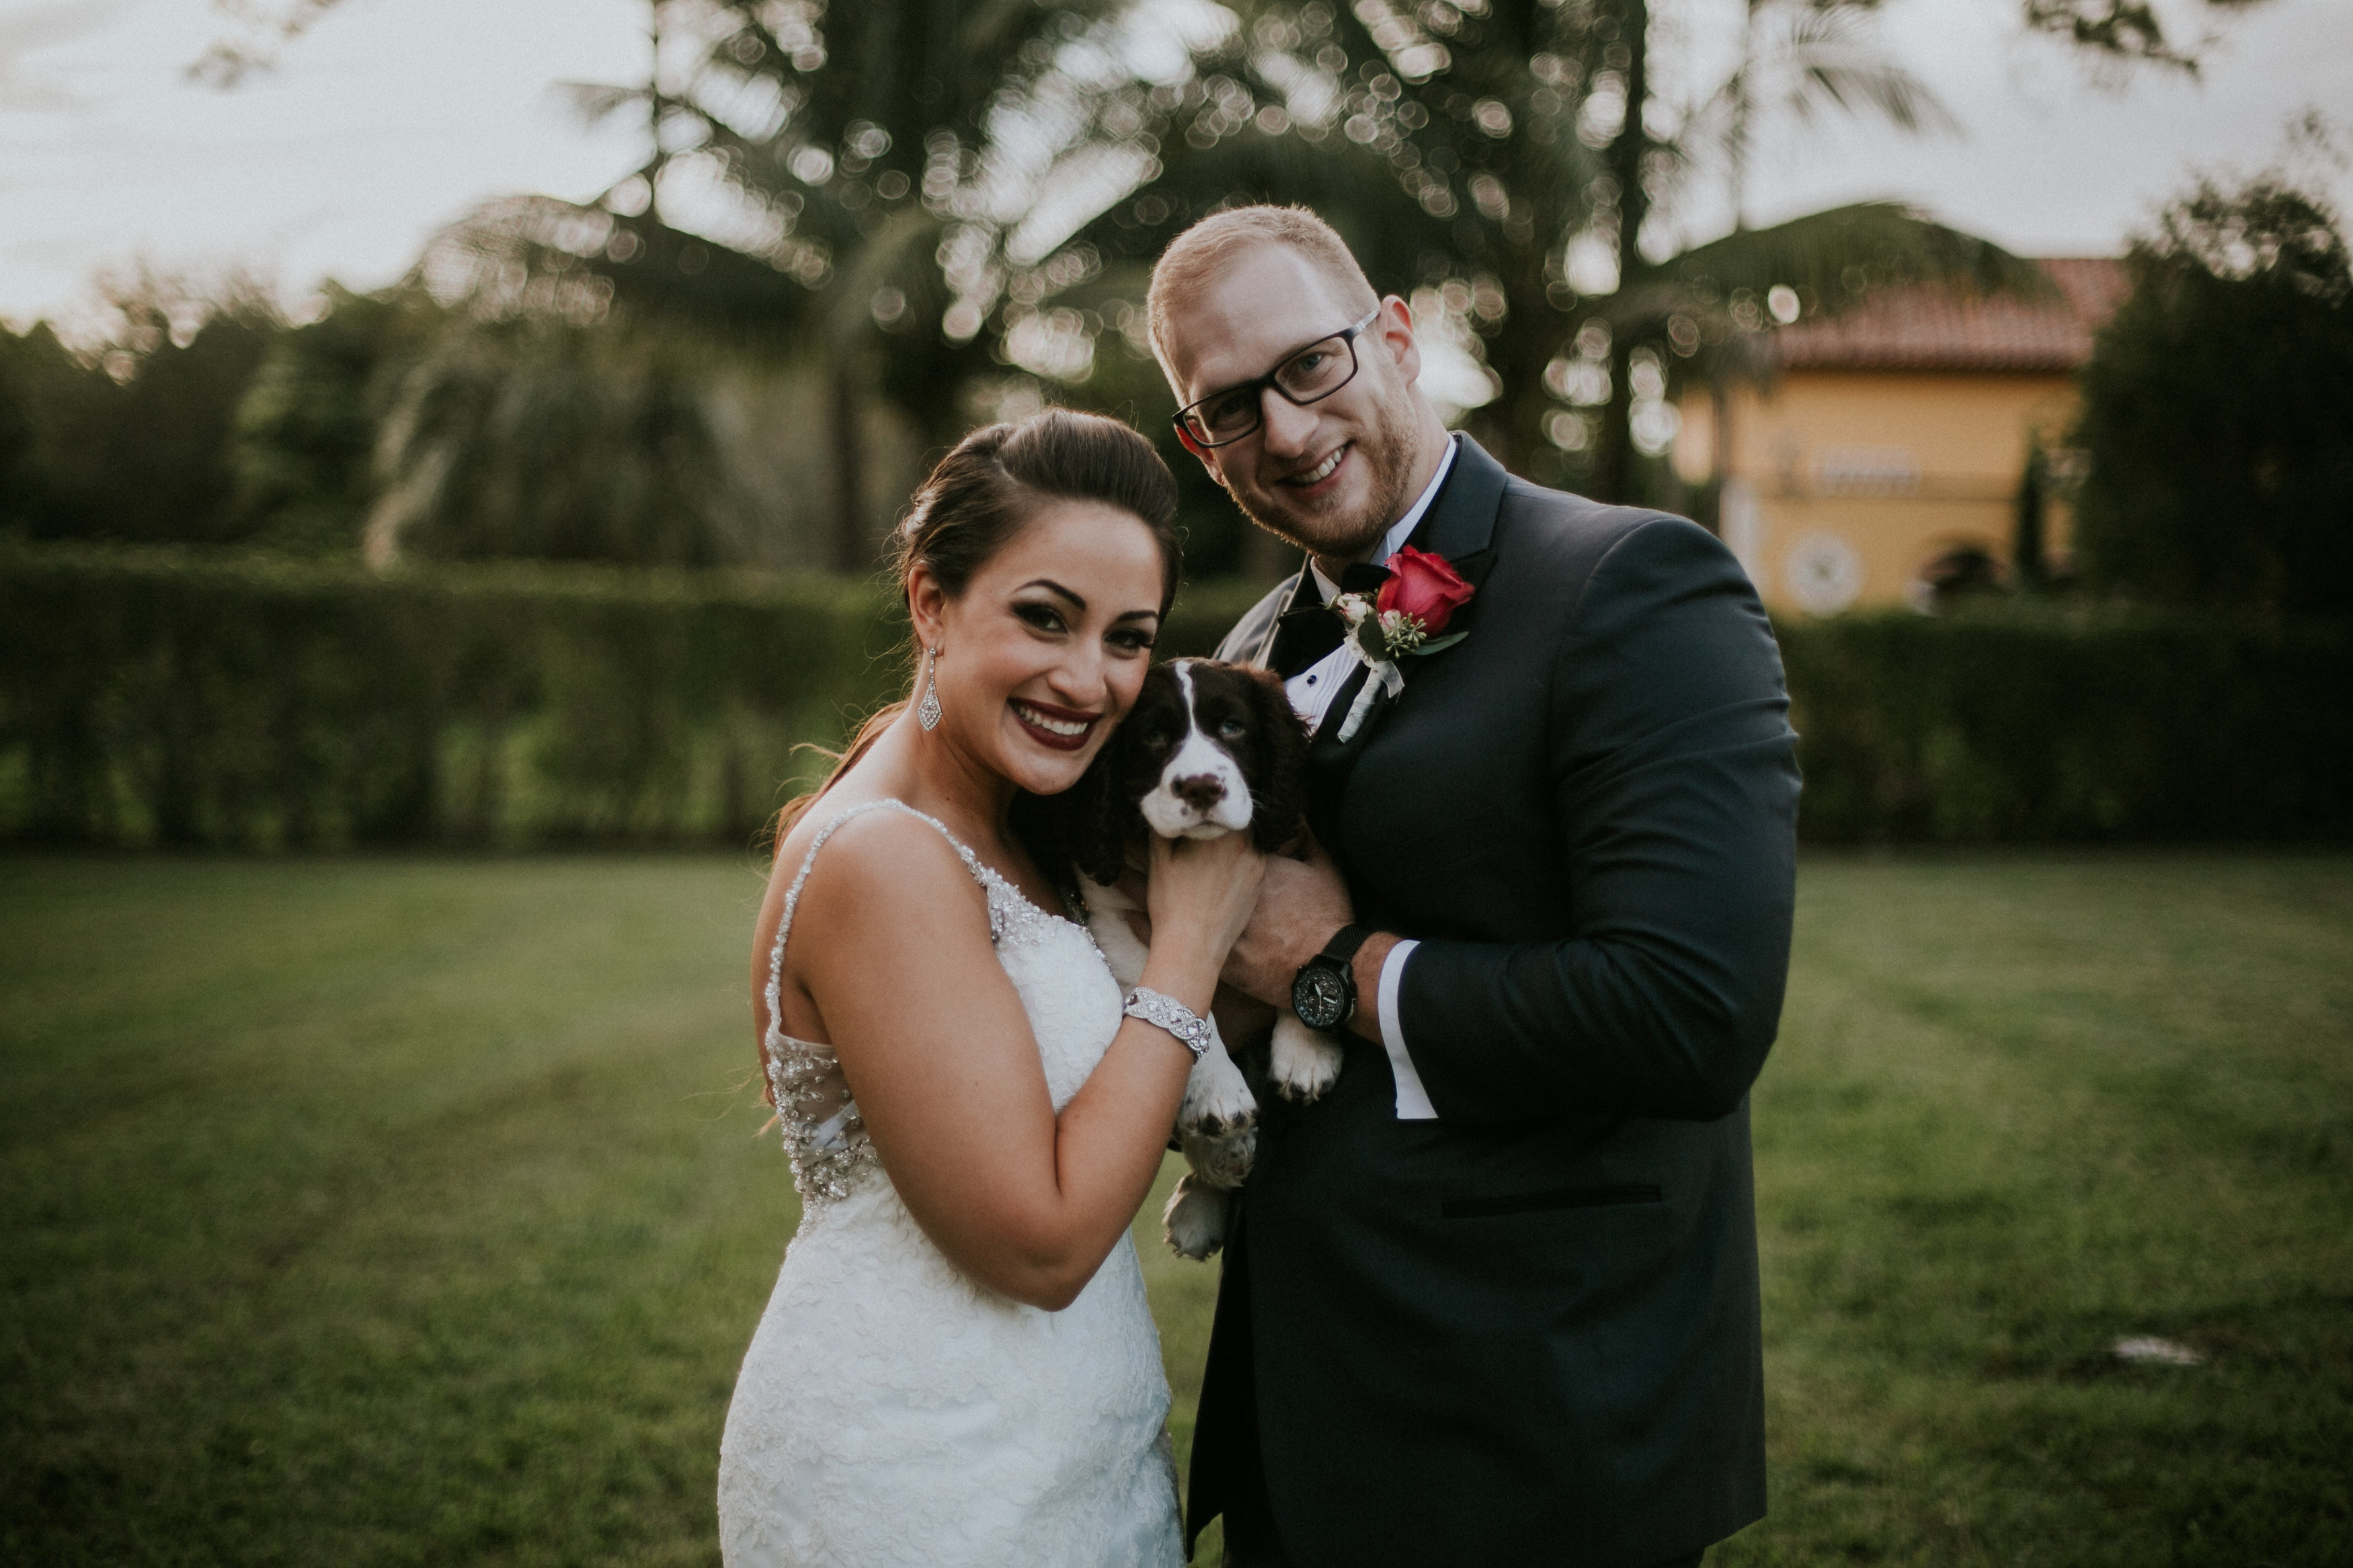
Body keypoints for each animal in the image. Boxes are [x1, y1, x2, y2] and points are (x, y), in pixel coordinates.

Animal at [1057, 657, 1345, 1259]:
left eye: (1233, 727)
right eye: (1153, 736)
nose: (1201, 786)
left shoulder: (1294, 846)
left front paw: (1307, 1054)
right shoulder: (1112, 917)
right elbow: (1189, 1005)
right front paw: (1218, 1095)